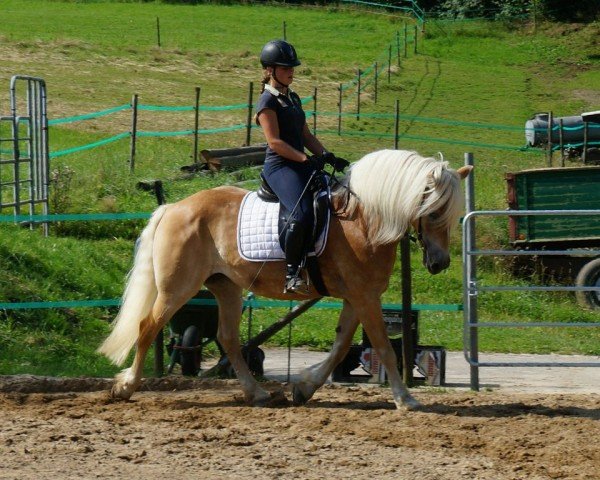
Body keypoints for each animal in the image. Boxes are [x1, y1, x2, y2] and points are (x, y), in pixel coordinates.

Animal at [99, 149, 474, 408]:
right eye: (434, 212)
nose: (440, 263)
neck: (363, 220)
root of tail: (174, 208)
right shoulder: (365, 296)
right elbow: (384, 347)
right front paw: (405, 399)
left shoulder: (357, 296)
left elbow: (341, 345)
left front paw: (304, 387)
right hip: (177, 287)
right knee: (148, 327)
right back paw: (126, 387)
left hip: (225, 286)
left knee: (228, 338)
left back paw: (257, 393)